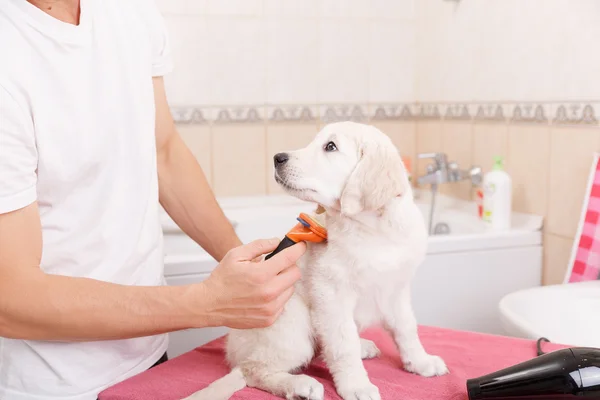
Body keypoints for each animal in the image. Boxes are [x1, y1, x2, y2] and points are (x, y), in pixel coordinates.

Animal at [185, 122, 448, 400]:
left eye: (330, 147)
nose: (277, 158)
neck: (372, 231)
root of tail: (234, 352)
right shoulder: (332, 295)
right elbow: (343, 345)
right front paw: (356, 385)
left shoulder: (396, 290)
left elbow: (406, 328)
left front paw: (420, 362)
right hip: (292, 325)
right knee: (253, 370)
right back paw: (299, 385)